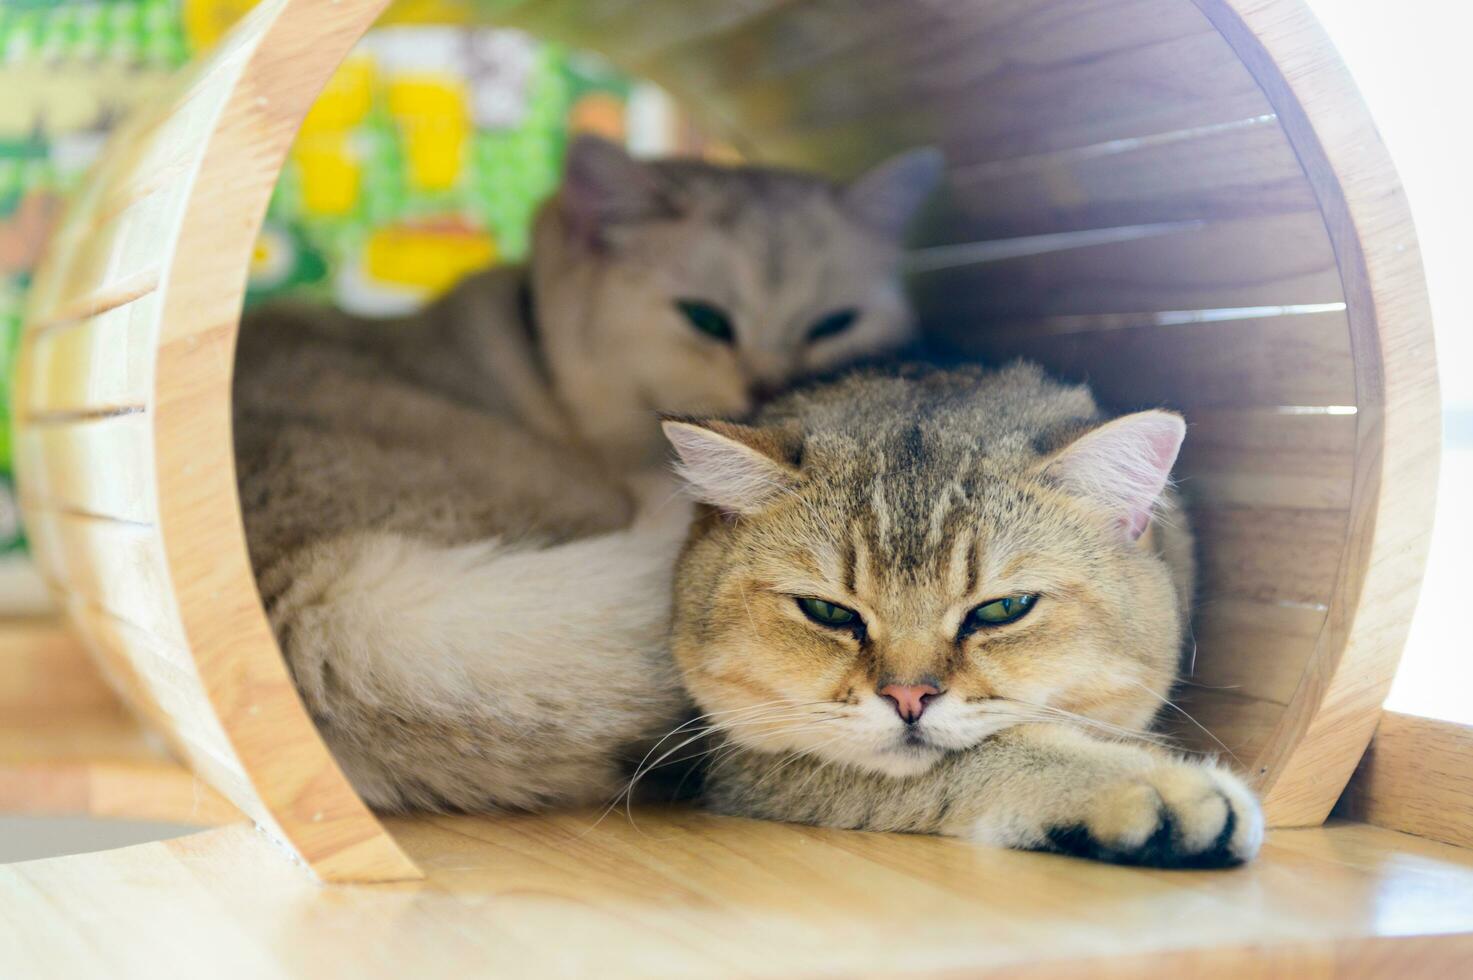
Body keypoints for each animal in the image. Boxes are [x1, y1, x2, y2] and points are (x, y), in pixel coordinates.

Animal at [662, 362, 1260, 866]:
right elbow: (981, 756)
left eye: (1003, 609)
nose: (908, 698)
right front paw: (1145, 785)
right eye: (826, 611)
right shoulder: (747, 762)